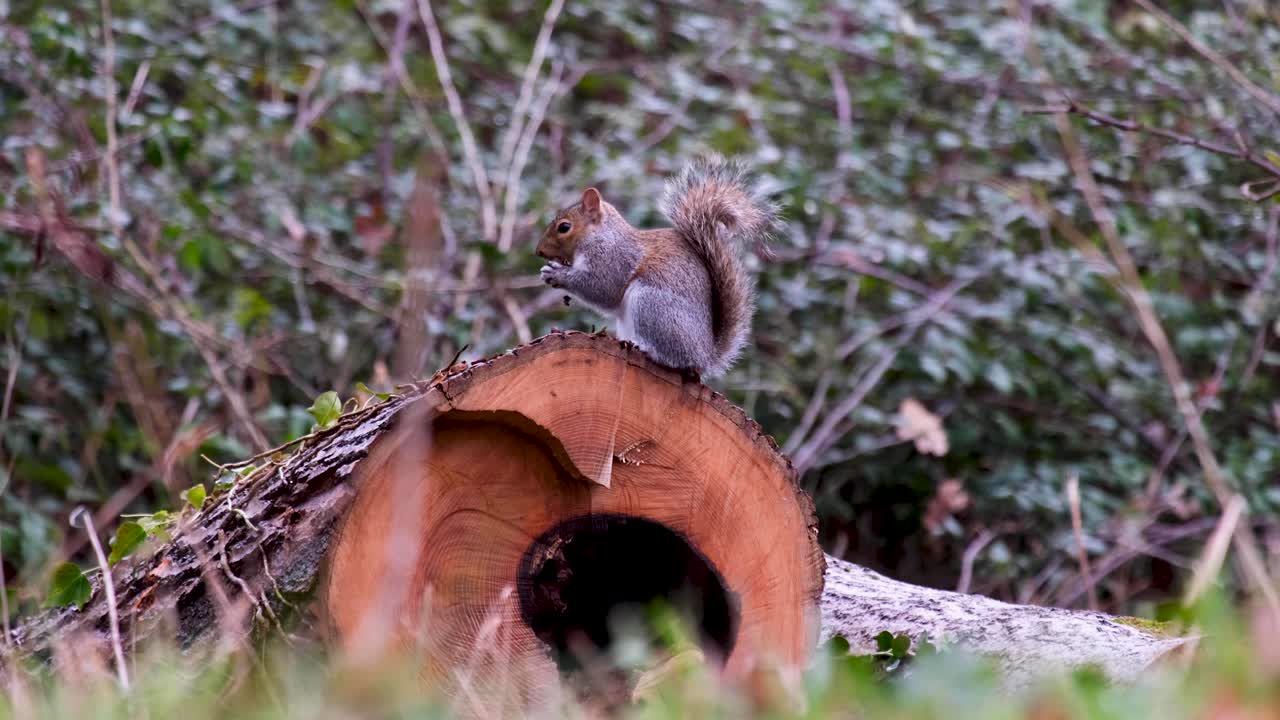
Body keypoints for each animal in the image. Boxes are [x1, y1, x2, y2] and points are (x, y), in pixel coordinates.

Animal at [536, 156, 778, 378]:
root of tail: (705, 356)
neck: (600, 235)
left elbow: (603, 289)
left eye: (564, 227)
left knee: (675, 359)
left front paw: (557, 274)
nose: (539, 251)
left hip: (652, 305)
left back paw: (647, 349)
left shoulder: (614, 259)